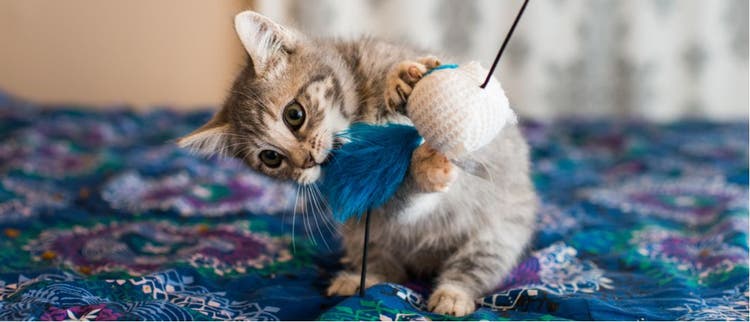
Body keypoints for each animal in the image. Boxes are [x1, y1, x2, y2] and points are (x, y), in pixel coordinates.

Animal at [178, 10, 536, 316]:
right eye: (271, 158)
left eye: (294, 114)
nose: (306, 160)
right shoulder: (374, 204)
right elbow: (403, 200)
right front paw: (425, 170)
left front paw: (400, 81)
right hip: (359, 233)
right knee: (387, 270)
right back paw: (360, 281)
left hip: (499, 233)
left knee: (473, 268)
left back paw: (453, 294)